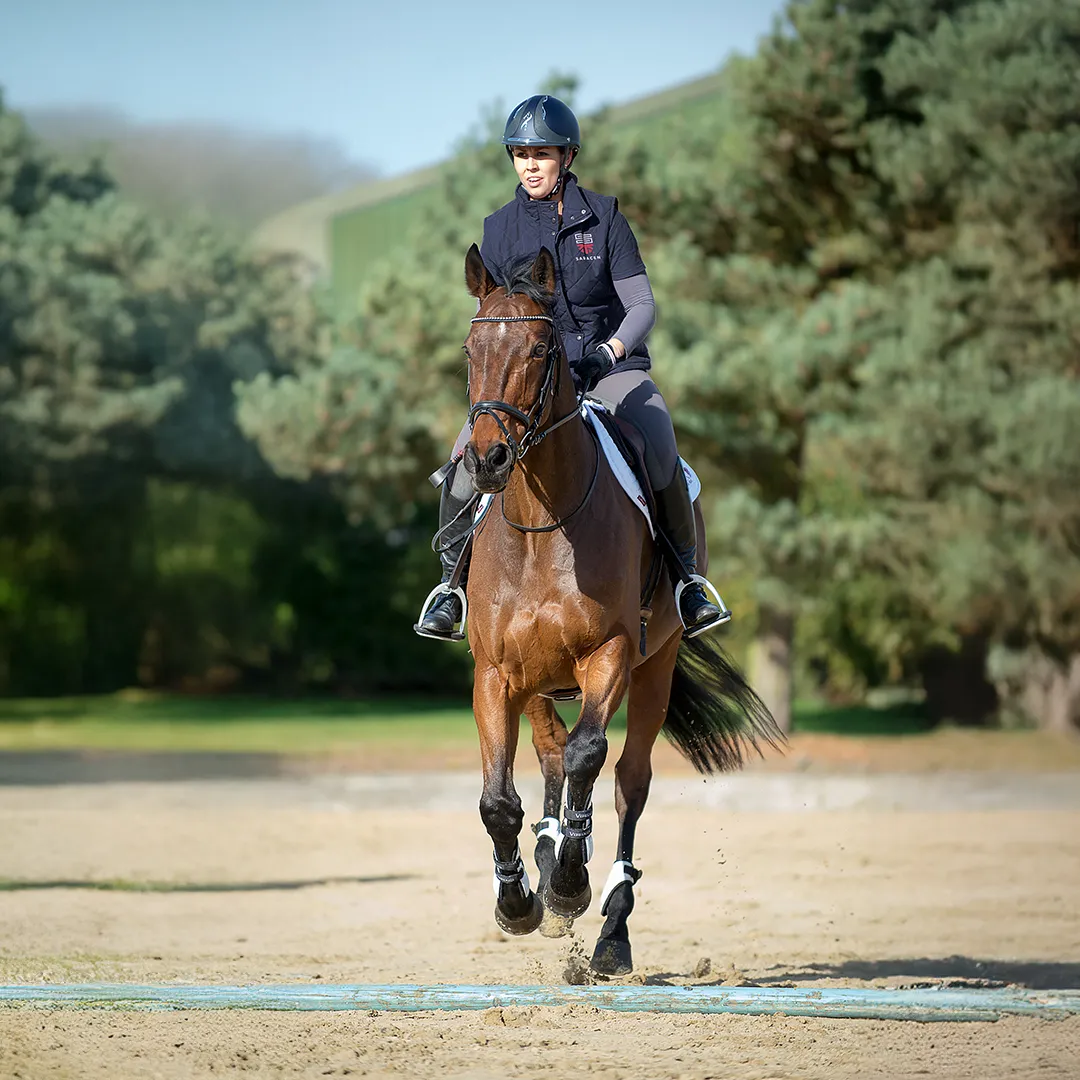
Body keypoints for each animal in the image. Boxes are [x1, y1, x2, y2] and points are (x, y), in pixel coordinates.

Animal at [458, 243, 782, 975]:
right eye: (470, 349)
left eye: (541, 349)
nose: (488, 458)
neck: (541, 524)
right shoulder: (495, 673)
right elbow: (498, 800)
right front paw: (518, 900)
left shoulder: (608, 656)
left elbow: (589, 757)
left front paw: (569, 885)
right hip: (537, 682)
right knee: (550, 756)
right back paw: (547, 857)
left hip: (654, 665)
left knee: (627, 780)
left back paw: (609, 927)